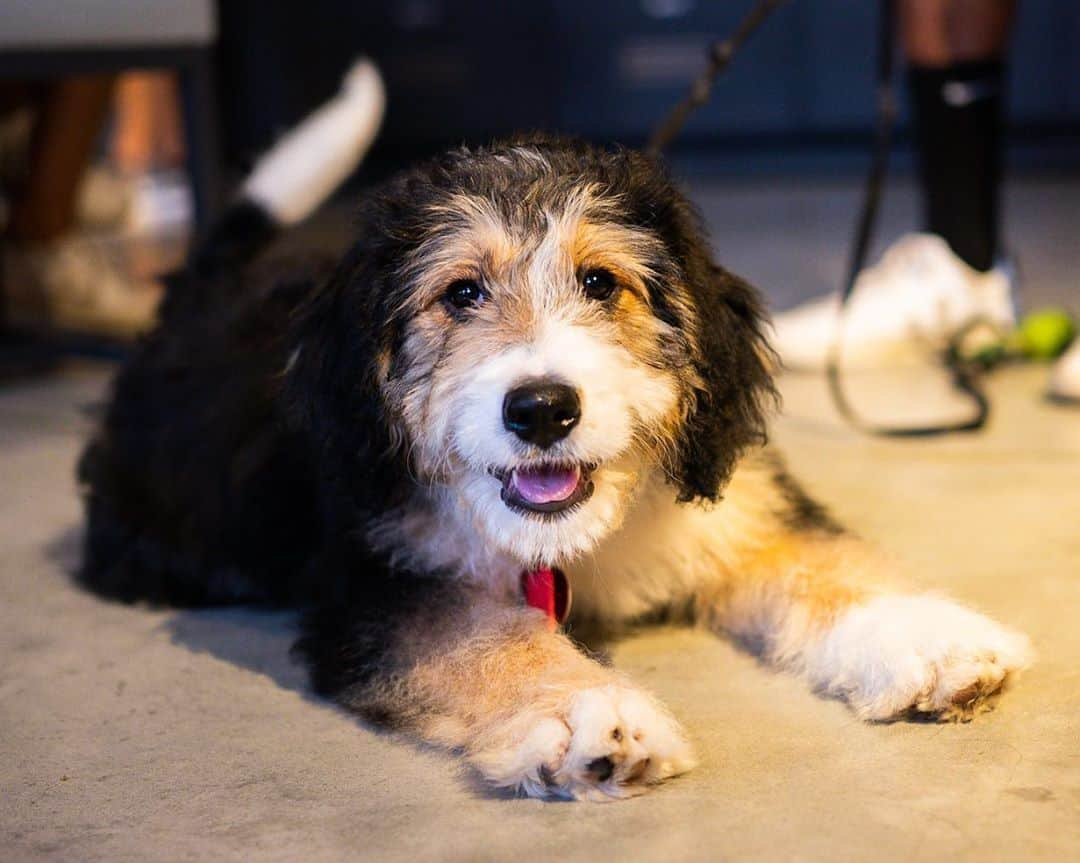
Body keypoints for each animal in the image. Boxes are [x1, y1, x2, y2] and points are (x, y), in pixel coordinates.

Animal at [79, 131, 1032, 799]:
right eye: (461, 293)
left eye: (602, 282)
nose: (541, 408)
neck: (572, 542)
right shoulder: (378, 582)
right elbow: (487, 634)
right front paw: (588, 714)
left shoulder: (732, 509)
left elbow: (817, 558)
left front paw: (924, 635)